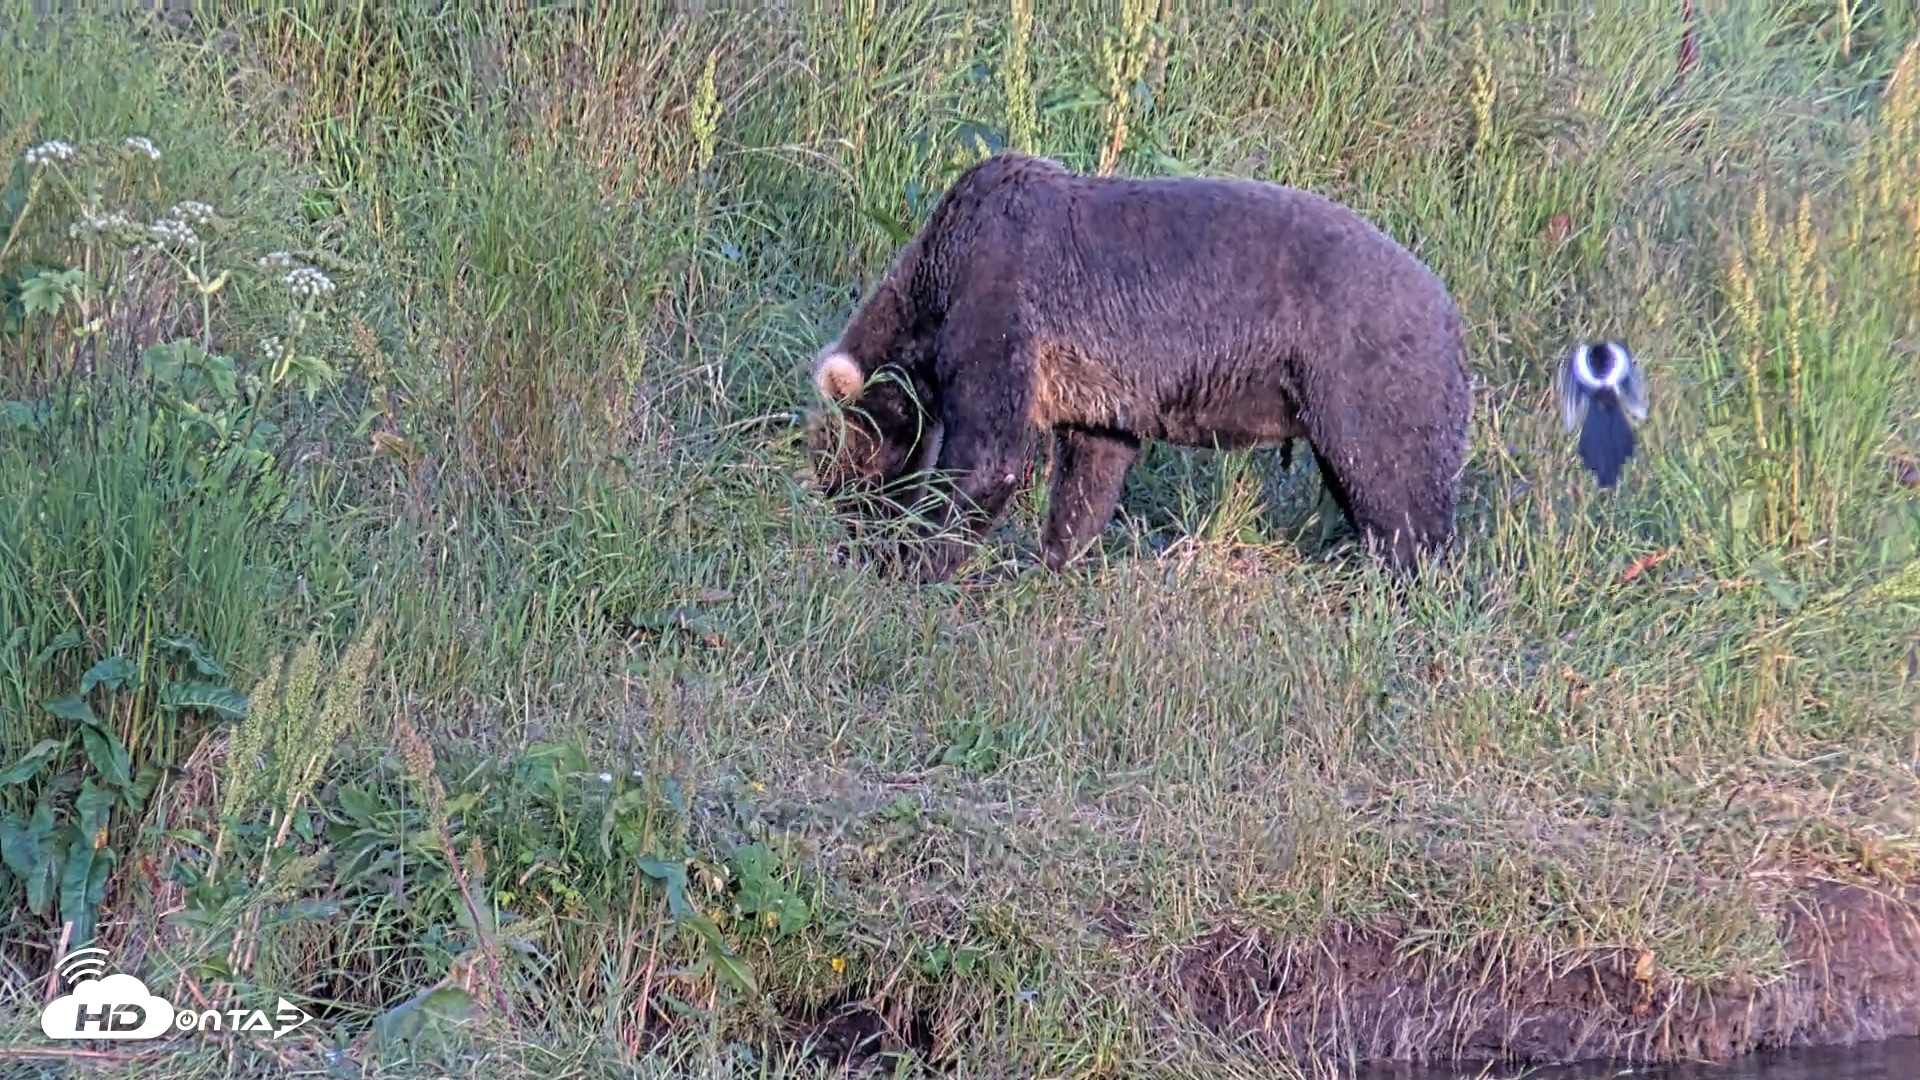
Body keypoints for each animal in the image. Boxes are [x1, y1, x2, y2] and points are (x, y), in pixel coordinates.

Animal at [802, 151, 1472, 584]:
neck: (936, 282)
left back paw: (1407, 579)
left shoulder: (1003, 302)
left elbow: (988, 457)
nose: (842, 516)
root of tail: (1451, 308)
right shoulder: (1098, 386)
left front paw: (914, 562)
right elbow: (1090, 474)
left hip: (1359, 369)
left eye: (836, 459)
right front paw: (1049, 560)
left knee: (1395, 490)